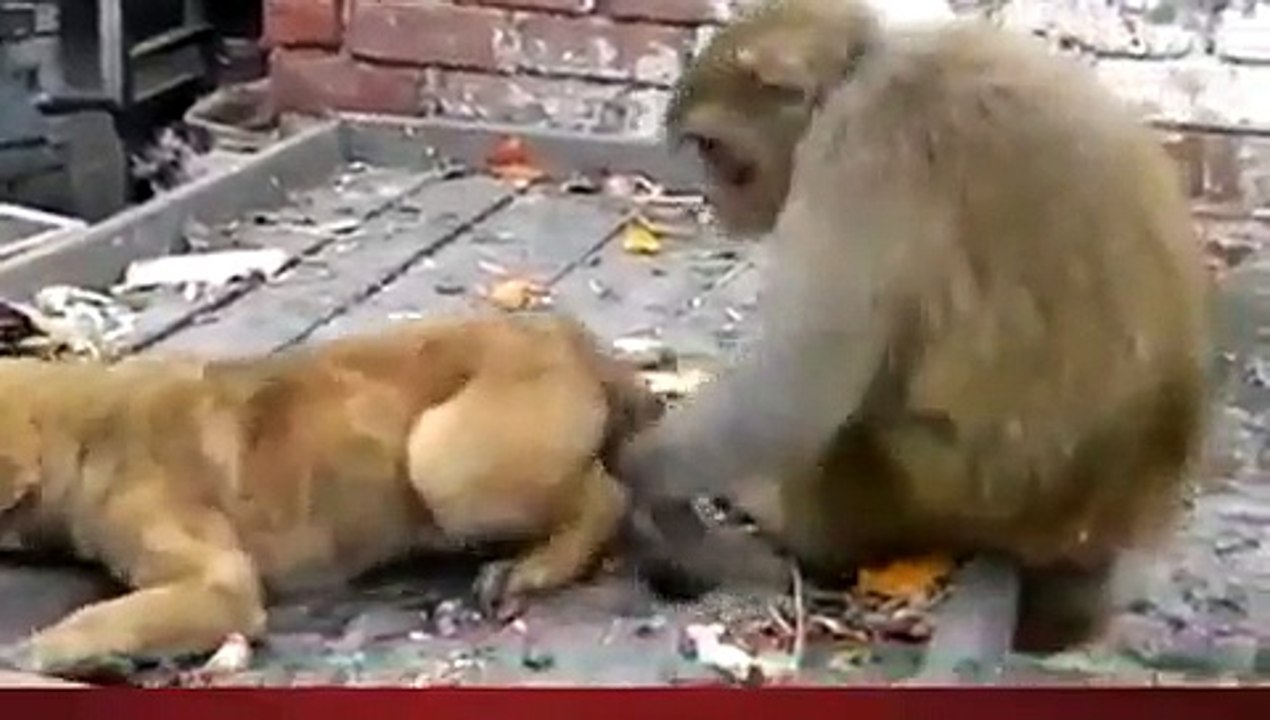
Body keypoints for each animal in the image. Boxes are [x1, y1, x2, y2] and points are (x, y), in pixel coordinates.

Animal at [0, 310, 663, 676]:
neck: (84, 430)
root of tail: (572, 339)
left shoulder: (221, 584)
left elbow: (113, 613)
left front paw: (46, 649)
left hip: (446, 462)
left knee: (607, 494)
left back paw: (535, 568)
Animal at [617, 0, 1213, 675]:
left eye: (714, 149)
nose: (714, 201)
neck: (857, 72)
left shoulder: (859, 148)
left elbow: (803, 382)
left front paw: (641, 467)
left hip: (934, 493)